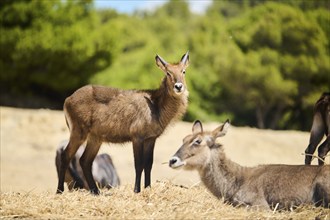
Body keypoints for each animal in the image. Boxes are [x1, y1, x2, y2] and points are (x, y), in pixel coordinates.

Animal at [58, 51, 189, 194]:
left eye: (183, 71)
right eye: (168, 73)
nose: (178, 86)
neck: (155, 105)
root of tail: (68, 99)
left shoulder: (151, 138)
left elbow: (149, 164)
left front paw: (148, 188)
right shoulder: (137, 137)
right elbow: (139, 164)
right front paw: (137, 190)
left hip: (95, 138)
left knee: (85, 161)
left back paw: (96, 192)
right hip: (79, 132)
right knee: (66, 156)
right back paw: (59, 191)